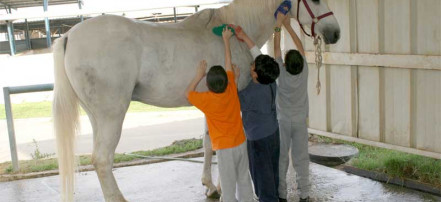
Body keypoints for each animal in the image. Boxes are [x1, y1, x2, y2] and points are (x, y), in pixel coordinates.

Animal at [52, 0, 340, 200]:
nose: (335, 33)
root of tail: (68, 35)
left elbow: (209, 142)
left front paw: (211, 186)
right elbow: (228, 140)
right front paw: (223, 185)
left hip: (96, 117)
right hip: (112, 115)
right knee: (102, 160)